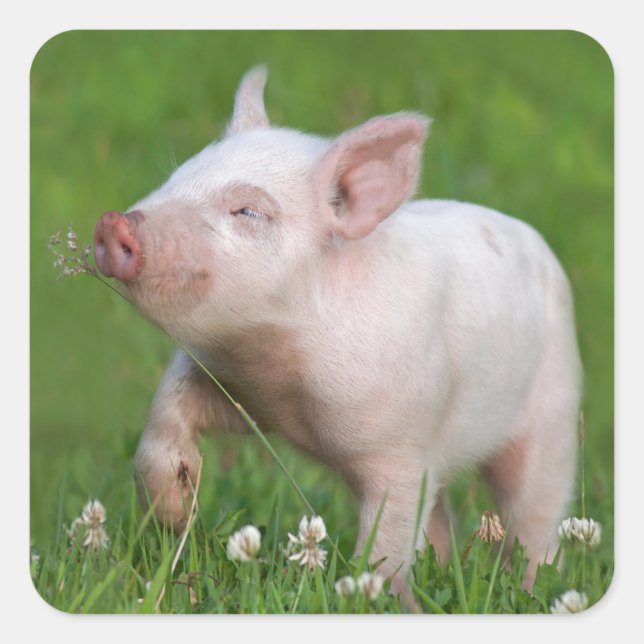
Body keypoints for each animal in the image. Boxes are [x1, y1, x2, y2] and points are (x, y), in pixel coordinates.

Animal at [93, 66, 582, 591]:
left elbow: (388, 538)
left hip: (552, 415)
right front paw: (176, 514)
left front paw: (363, 593)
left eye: (248, 211)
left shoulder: (400, 446)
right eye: (176, 176)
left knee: (534, 516)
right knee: (440, 518)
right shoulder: (228, 382)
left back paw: (530, 586)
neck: (279, 370)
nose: (113, 224)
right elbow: (163, 418)